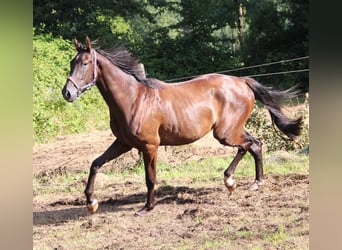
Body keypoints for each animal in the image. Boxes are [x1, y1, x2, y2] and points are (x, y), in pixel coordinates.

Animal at [61, 36, 302, 215]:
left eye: (84, 63)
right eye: (72, 62)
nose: (67, 93)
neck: (133, 99)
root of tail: (242, 81)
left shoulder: (150, 146)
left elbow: (150, 178)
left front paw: (147, 207)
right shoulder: (123, 143)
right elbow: (95, 164)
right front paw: (91, 203)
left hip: (225, 133)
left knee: (249, 145)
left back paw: (233, 181)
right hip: (232, 129)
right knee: (254, 145)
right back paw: (251, 182)